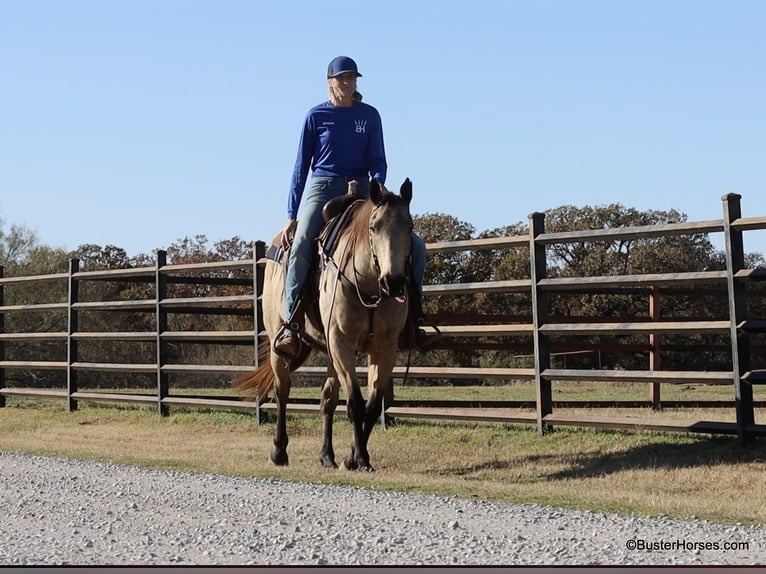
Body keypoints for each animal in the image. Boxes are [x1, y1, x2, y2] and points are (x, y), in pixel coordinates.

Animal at [236, 178, 414, 471]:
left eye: (409, 227)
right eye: (374, 227)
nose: (394, 281)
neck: (368, 286)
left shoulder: (384, 349)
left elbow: (372, 405)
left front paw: (354, 457)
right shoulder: (341, 342)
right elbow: (355, 403)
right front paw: (360, 457)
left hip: (330, 353)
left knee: (327, 399)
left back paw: (326, 455)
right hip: (279, 347)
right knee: (282, 391)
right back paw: (279, 451)